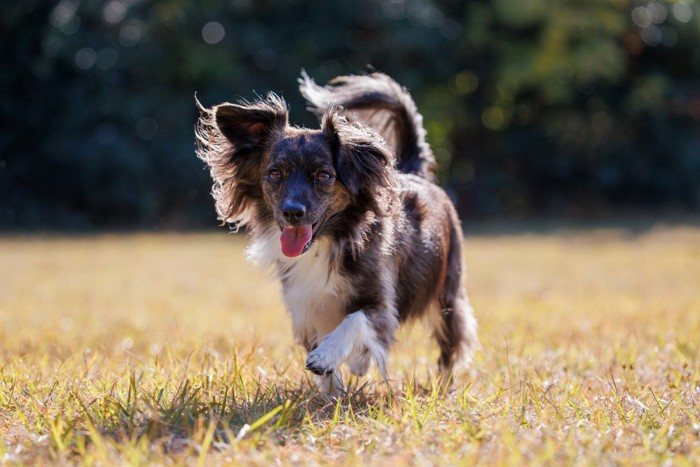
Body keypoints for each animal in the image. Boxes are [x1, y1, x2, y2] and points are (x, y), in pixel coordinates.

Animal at [194, 72, 478, 394]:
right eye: (274, 174)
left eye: (324, 176)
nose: (292, 212)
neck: (326, 243)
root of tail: (415, 173)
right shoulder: (304, 305)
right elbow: (326, 352)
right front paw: (333, 393)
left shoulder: (381, 304)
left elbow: (355, 321)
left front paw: (327, 356)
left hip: (447, 295)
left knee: (450, 345)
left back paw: (443, 386)